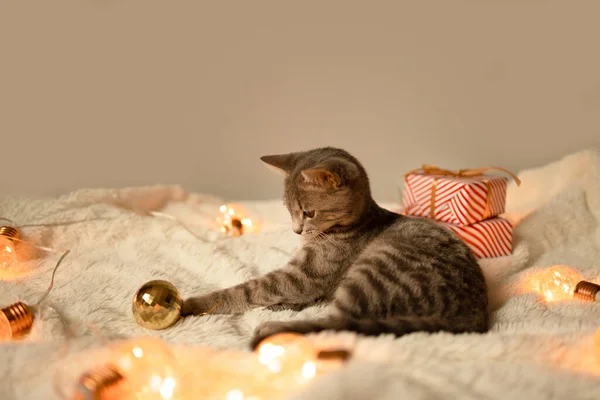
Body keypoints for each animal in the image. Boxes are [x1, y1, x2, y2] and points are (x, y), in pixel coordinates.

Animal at [180, 146, 490, 346]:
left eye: (308, 212)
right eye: (288, 210)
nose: (296, 229)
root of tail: (474, 315)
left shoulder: (305, 275)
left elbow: (251, 289)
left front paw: (197, 303)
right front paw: (282, 304)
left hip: (371, 272)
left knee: (334, 325)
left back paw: (272, 328)